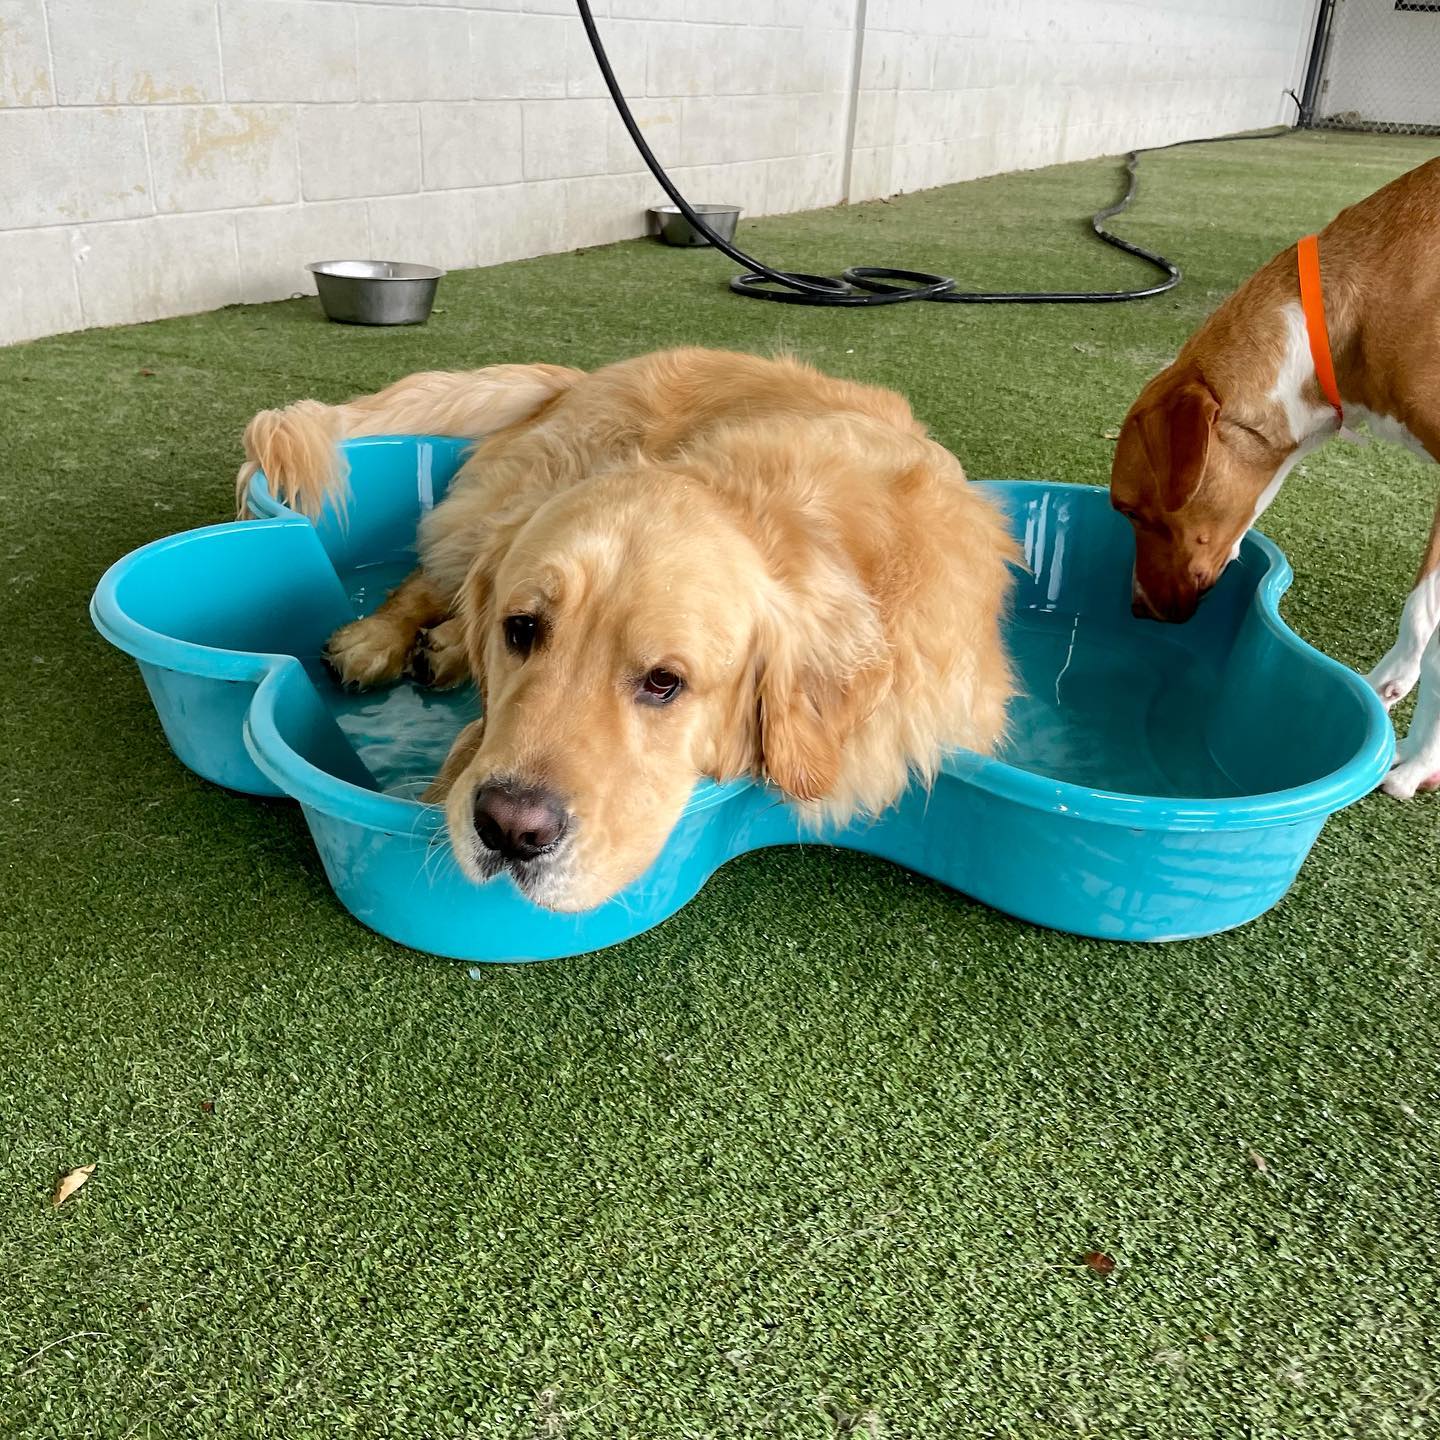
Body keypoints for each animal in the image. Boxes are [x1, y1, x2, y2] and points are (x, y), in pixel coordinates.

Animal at [239, 348, 1017, 911]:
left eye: (664, 682)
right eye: (523, 629)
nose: (508, 829)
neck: (783, 516)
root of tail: (586, 375)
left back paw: (449, 646)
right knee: (431, 574)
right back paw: (378, 640)